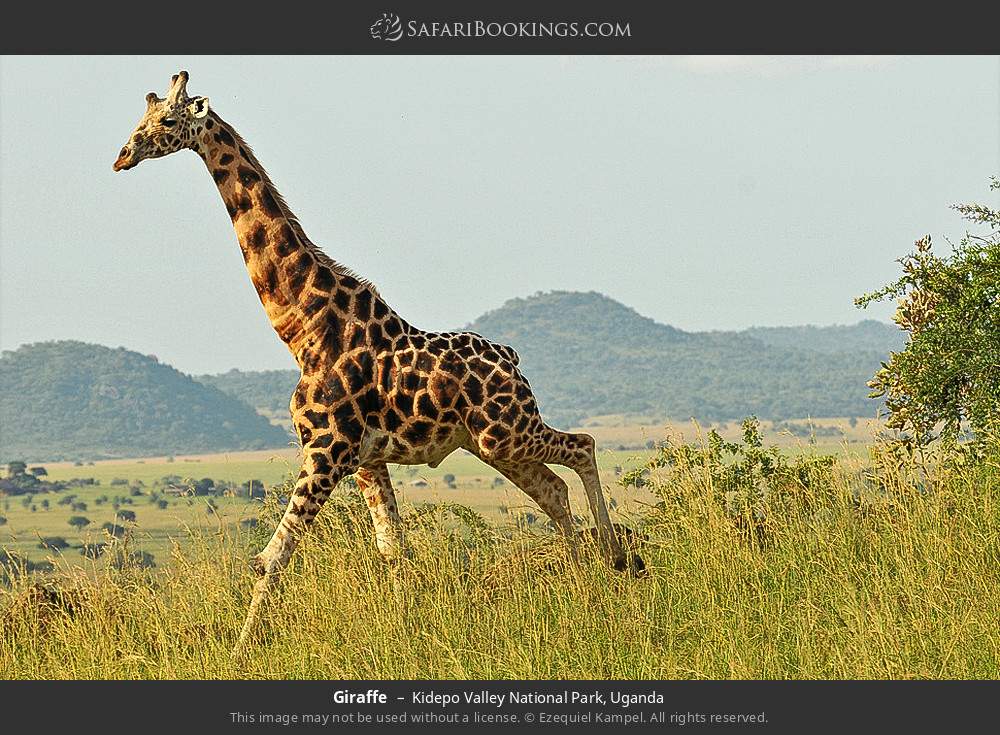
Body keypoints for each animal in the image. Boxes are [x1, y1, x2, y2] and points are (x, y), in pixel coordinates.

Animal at [113, 71, 644, 649]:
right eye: (139, 119)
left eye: (167, 120)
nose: (122, 156)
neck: (304, 329)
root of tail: (512, 359)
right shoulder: (366, 460)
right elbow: (393, 549)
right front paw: (408, 634)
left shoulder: (327, 451)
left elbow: (272, 558)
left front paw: (240, 650)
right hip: (492, 444)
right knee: (552, 488)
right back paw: (582, 580)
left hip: (504, 432)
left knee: (583, 447)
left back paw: (617, 561)